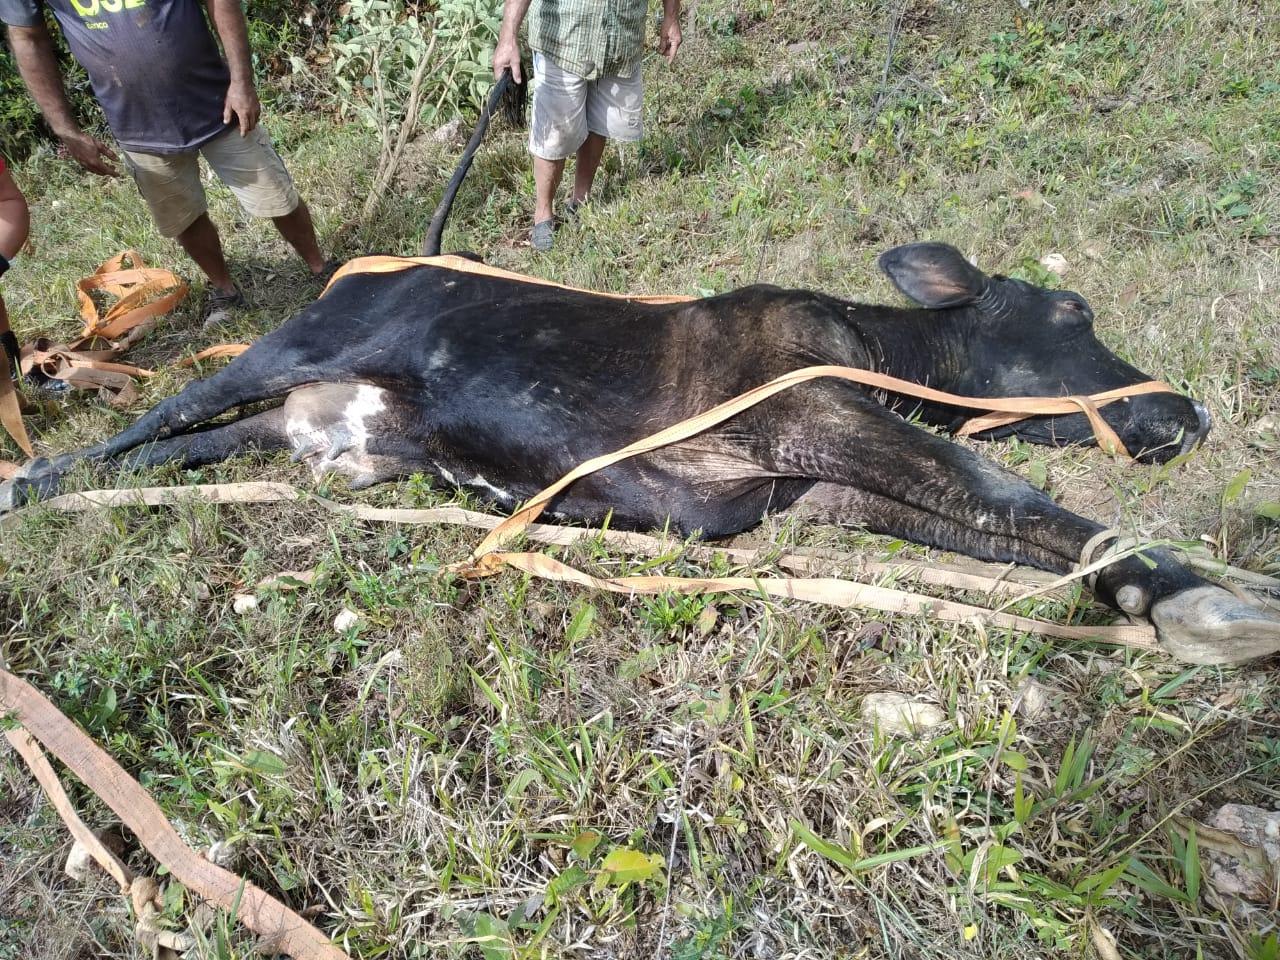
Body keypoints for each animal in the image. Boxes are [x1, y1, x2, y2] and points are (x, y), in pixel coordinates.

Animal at [2, 241, 1277, 665]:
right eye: (1068, 312)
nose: (1186, 412)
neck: (873, 347)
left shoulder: (811, 493)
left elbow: (1000, 526)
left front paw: (1152, 594)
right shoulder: (815, 419)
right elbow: (1006, 489)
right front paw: (1199, 594)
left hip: (314, 431)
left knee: (174, 456)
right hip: (271, 357)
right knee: (144, 426)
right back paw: (33, 479)